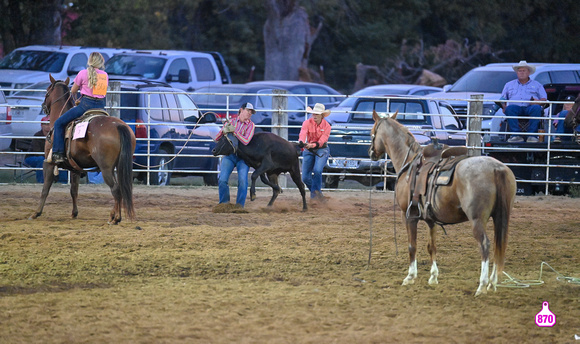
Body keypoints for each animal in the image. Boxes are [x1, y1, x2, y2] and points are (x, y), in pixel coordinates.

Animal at [30, 75, 137, 224]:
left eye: (47, 91)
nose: (44, 107)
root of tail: (118, 126)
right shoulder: (75, 167)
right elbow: (74, 190)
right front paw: (74, 213)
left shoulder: (49, 162)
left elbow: (45, 188)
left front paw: (36, 213)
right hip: (118, 165)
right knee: (120, 188)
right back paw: (112, 215)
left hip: (106, 168)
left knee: (115, 189)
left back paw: (116, 218)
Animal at [370, 110, 516, 296]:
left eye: (372, 132)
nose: (371, 152)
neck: (409, 162)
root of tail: (497, 169)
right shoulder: (431, 220)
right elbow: (431, 246)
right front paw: (433, 277)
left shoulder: (409, 216)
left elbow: (412, 246)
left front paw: (410, 277)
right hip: (500, 217)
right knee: (499, 244)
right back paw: (492, 284)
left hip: (477, 220)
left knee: (485, 245)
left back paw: (482, 285)